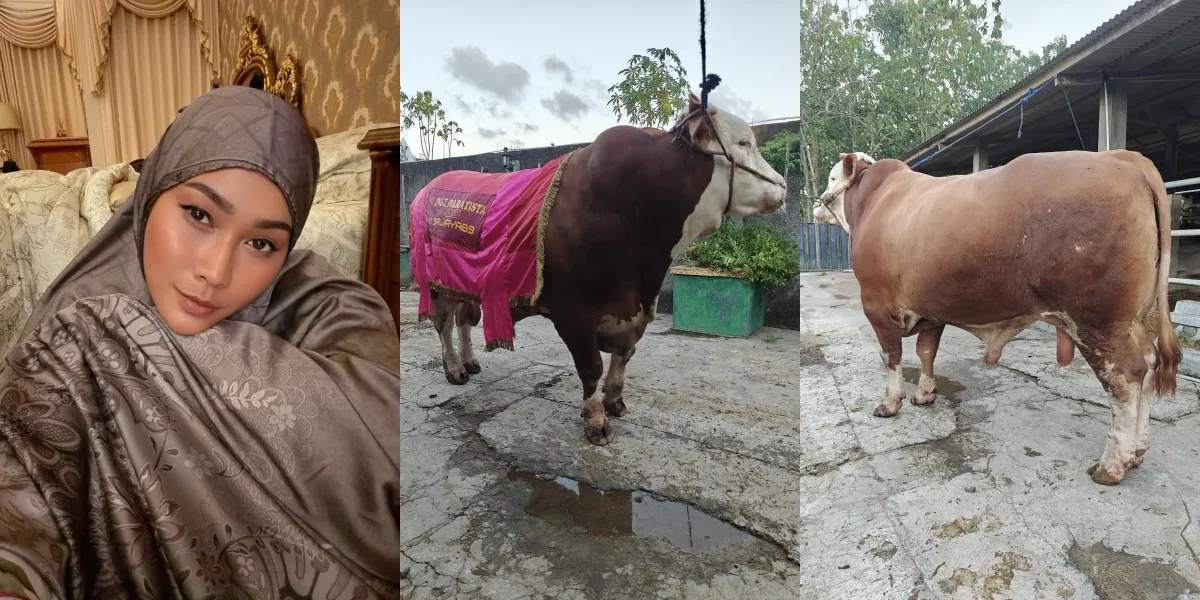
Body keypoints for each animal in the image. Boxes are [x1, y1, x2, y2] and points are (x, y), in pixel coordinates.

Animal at [411, 93, 788, 446]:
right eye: (744, 142)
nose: (783, 185)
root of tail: (428, 187)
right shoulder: (573, 312)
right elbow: (591, 366)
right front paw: (595, 420)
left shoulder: (631, 308)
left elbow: (624, 355)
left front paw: (614, 401)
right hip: (435, 284)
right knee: (444, 323)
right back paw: (455, 369)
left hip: (463, 280)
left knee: (464, 318)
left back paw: (470, 361)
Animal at [813, 149, 1180, 486]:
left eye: (831, 178)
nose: (816, 205)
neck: (875, 201)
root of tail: (1121, 156)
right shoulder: (932, 310)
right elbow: (926, 352)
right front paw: (925, 394)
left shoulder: (877, 305)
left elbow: (891, 357)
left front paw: (890, 404)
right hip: (1132, 321)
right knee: (1150, 365)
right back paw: (1137, 452)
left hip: (1098, 322)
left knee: (1125, 379)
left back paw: (1112, 465)